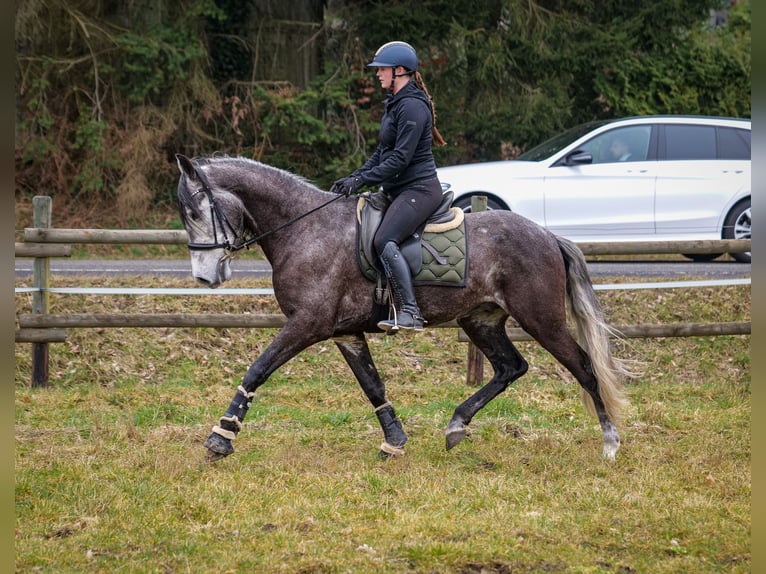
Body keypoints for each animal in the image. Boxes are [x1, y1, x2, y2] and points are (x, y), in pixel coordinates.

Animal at [177, 153, 632, 464]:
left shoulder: (308, 324)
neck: (304, 229)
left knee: (584, 367)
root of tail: (548, 236)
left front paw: (221, 437)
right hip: (480, 320)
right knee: (510, 367)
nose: (205, 277)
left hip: (542, 319)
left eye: (196, 210)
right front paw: (394, 441)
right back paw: (456, 425)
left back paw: (610, 444)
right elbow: (373, 385)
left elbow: (258, 368)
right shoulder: (344, 332)